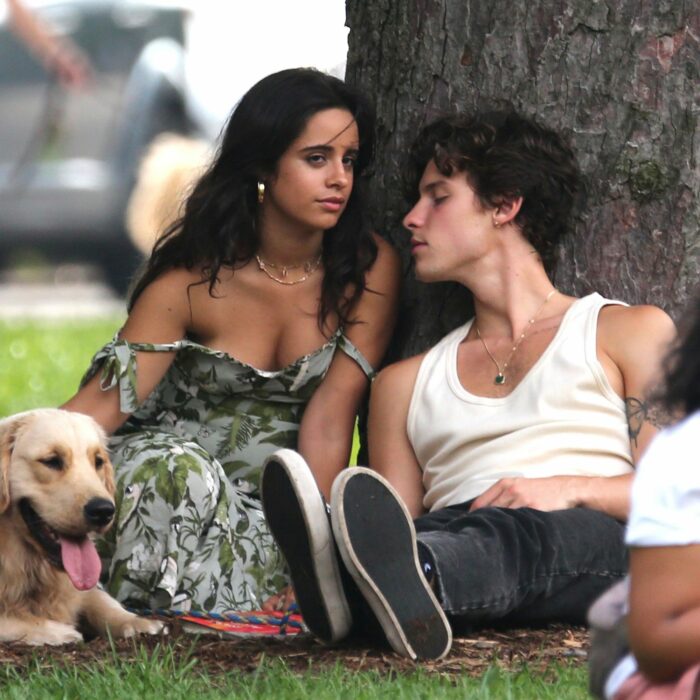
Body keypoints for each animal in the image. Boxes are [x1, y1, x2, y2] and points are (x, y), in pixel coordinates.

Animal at [0, 410, 165, 644]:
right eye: (52, 461)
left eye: (98, 461)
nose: (104, 511)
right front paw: (57, 631)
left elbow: (99, 597)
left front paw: (135, 621)